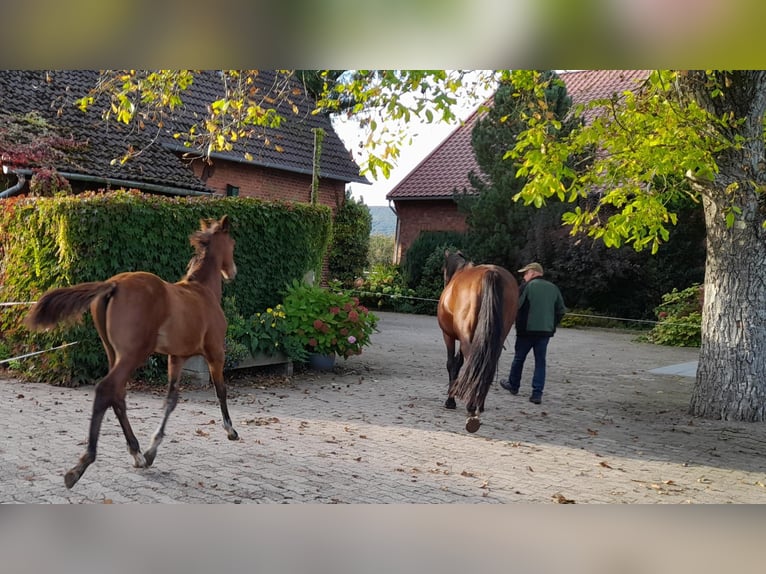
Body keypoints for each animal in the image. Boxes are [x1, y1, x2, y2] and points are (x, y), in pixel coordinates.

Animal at [25, 216, 237, 490]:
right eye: (232, 243)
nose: (232, 271)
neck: (203, 292)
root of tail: (113, 285)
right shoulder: (215, 352)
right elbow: (221, 391)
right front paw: (231, 431)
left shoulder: (176, 357)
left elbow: (171, 400)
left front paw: (151, 451)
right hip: (134, 354)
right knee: (106, 390)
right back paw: (81, 465)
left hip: (114, 353)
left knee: (118, 395)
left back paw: (136, 453)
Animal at [440, 250, 520, 434]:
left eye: (443, 270)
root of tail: (492, 273)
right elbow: (458, 363)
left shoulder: (449, 336)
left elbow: (451, 364)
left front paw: (450, 400)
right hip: (494, 339)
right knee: (487, 366)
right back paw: (479, 405)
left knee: (475, 364)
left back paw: (471, 408)